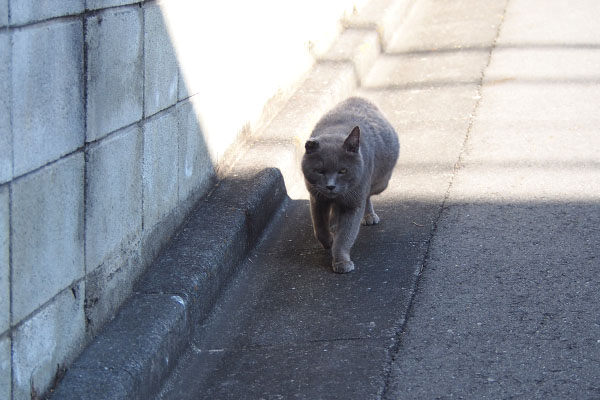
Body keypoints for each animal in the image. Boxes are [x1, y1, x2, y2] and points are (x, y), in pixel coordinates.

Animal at [302, 96, 400, 276]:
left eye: (343, 170)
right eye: (319, 171)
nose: (330, 186)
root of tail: (358, 98)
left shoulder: (353, 203)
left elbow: (346, 235)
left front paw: (341, 261)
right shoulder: (316, 198)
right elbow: (319, 227)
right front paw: (328, 241)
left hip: (378, 183)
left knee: (367, 196)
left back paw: (368, 216)